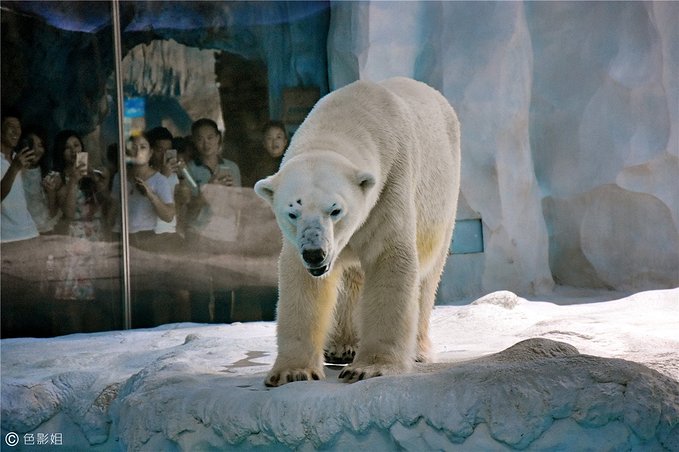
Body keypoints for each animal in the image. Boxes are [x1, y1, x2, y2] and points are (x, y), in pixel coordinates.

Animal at [255, 76, 462, 386]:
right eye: (292, 212)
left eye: (335, 210)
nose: (315, 254)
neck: (345, 120)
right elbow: (301, 283)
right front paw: (293, 372)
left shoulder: (390, 184)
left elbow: (389, 259)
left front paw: (370, 367)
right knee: (351, 279)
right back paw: (342, 347)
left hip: (445, 195)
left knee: (427, 276)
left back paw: (416, 350)